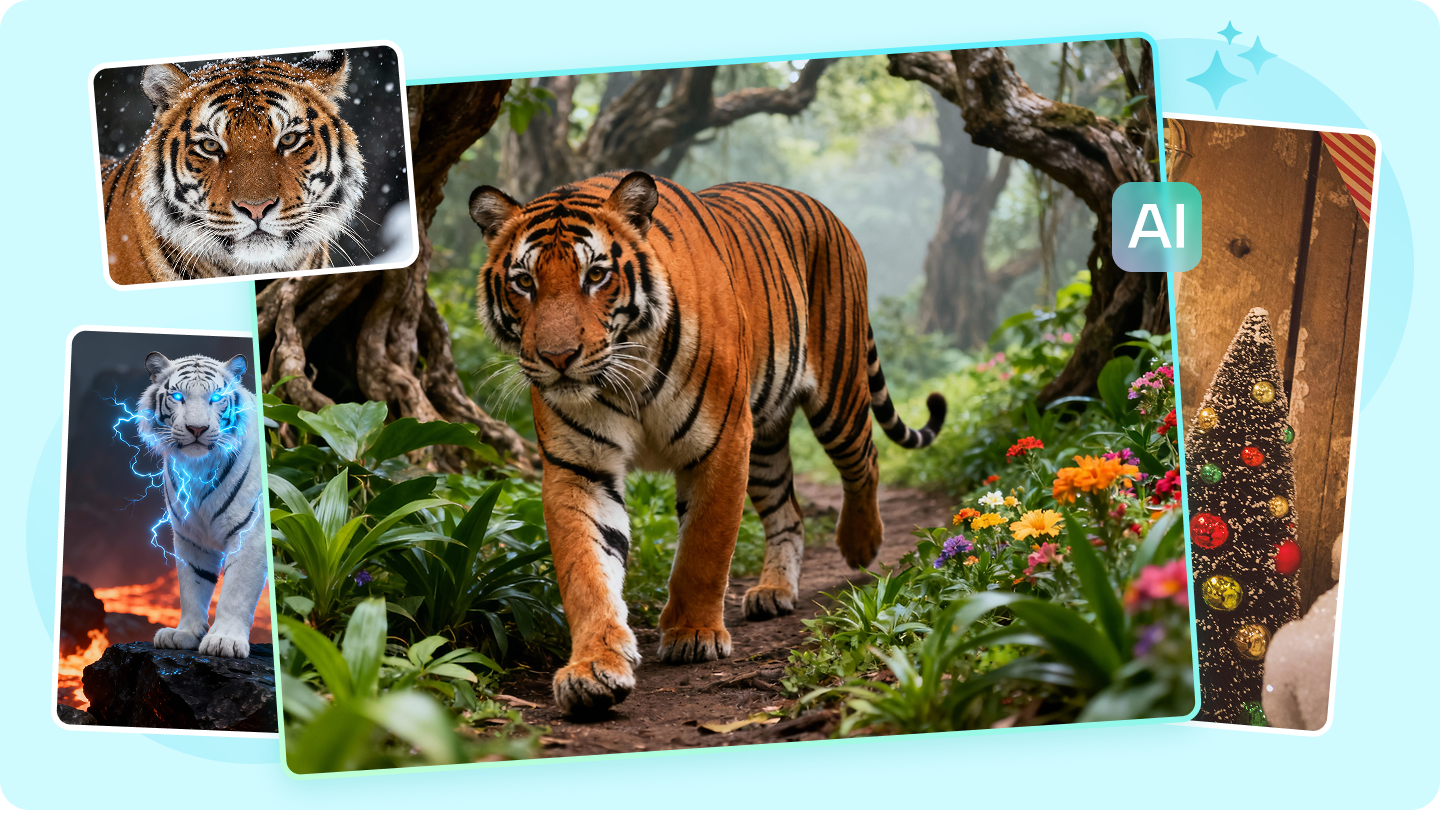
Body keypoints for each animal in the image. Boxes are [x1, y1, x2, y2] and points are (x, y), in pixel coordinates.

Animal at [137, 352, 266, 659]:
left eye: (216, 397)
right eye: (178, 396)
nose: (197, 429)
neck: (198, 469)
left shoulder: (250, 531)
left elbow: (236, 589)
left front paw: (224, 640)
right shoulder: (189, 535)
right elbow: (192, 585)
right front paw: (184, 633)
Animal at [468, 171, 945, 715]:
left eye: (596, 275)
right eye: (524, 282)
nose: (557, 357)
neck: (626, 376)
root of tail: (828, 212)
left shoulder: (721, 442)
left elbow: (704, 547)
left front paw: (692, 633)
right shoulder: (579, 468)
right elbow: (586, 571)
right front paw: (592, 668)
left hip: (838, 396)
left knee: (865, 460)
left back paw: (860, 544)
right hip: (766, 442)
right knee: (789, 513)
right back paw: (774, 589)